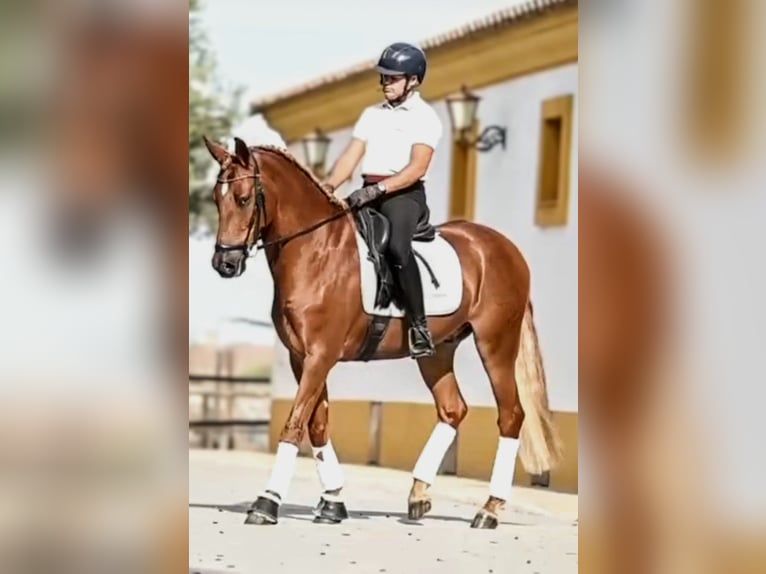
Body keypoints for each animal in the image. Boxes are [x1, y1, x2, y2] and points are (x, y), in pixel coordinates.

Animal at [203, 135, 563, 529]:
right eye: (216, 199)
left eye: (243, 198)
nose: (224, 263)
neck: (316, 251)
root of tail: (508, 249)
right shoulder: (301, 357)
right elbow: (318, 425)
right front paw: (332, 502)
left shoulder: (320, 355)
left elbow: (295, 424)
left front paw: (266, 502)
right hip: (437, 351)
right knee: (453, 409)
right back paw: (419, 495)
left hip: (496, 343)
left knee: (511, 415)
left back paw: (489, 508)